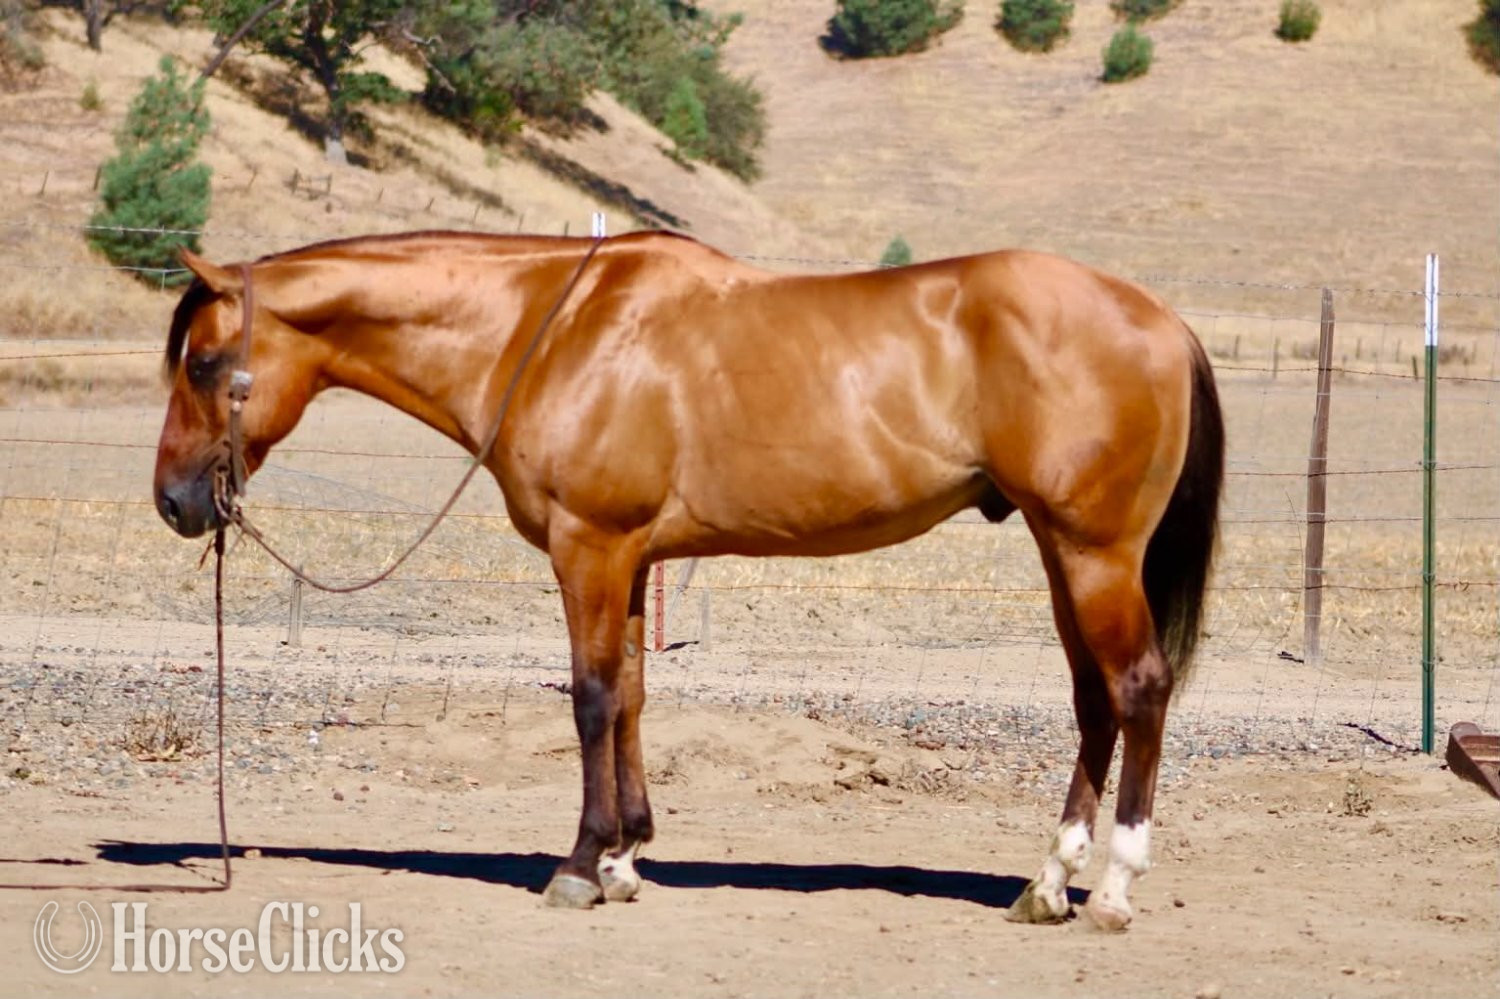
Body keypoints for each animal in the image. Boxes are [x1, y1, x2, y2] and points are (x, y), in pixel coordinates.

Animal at [152, 229, 1223, 930]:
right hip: (1059, 549)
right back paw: (1046, 883)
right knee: (1093, 701)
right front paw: (627, 856)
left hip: (1092, 551)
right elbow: (630, 695)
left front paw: (580, 865)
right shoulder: (629, 559)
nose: (173, 501)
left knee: (1138, 689)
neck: (549, 329)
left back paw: (1113, 888)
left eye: (204, 362)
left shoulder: (589, 547)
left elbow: (589, 696)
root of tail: (1163, 319)